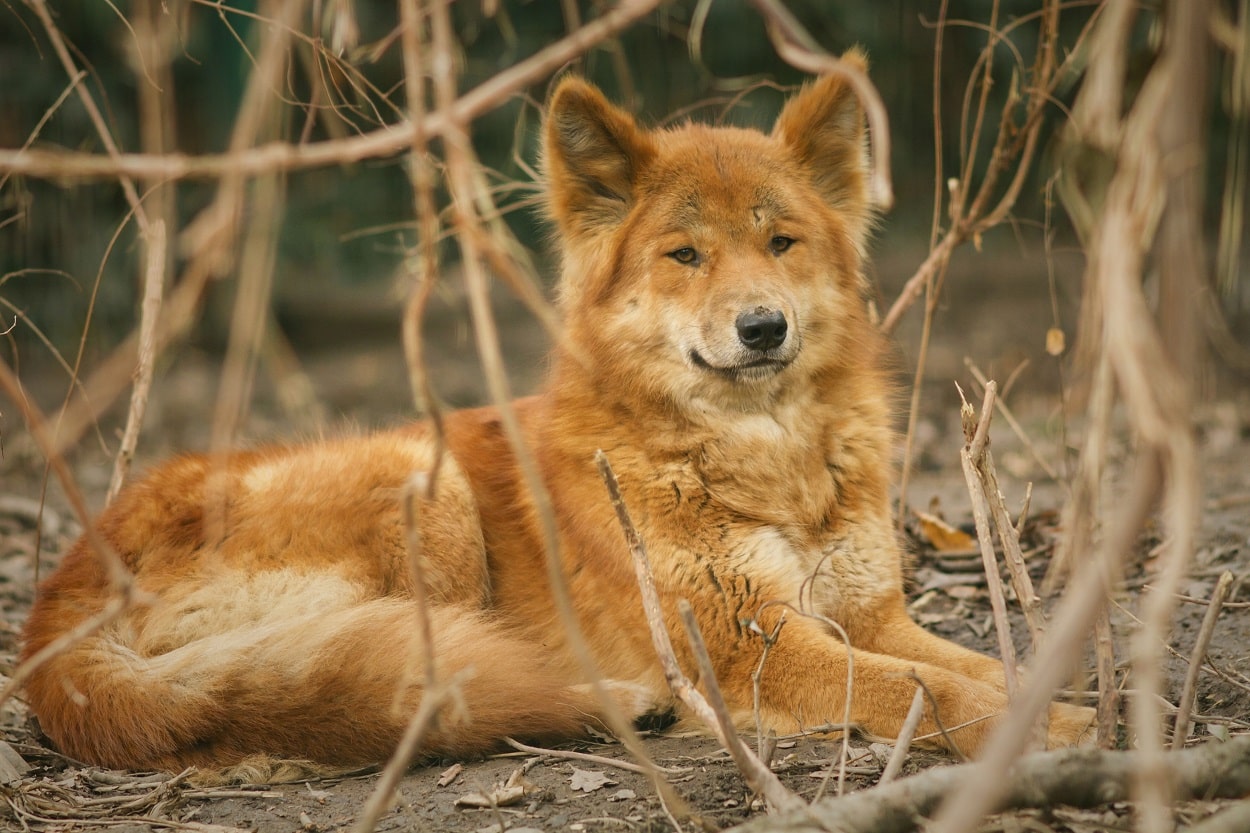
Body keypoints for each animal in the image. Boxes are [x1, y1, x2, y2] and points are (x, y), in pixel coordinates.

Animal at [22, 60, 1095, 780]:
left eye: (781, 242)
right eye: (685, 255)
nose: (763, 327)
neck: (761, 459)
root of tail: (58, 599)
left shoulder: (870, 614)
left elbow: (977, 662)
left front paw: (1080, 703)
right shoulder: (751, 645)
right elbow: (929, 689)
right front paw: (1059, 732)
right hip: (425, 483)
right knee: (402, 692)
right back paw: (612, 702)